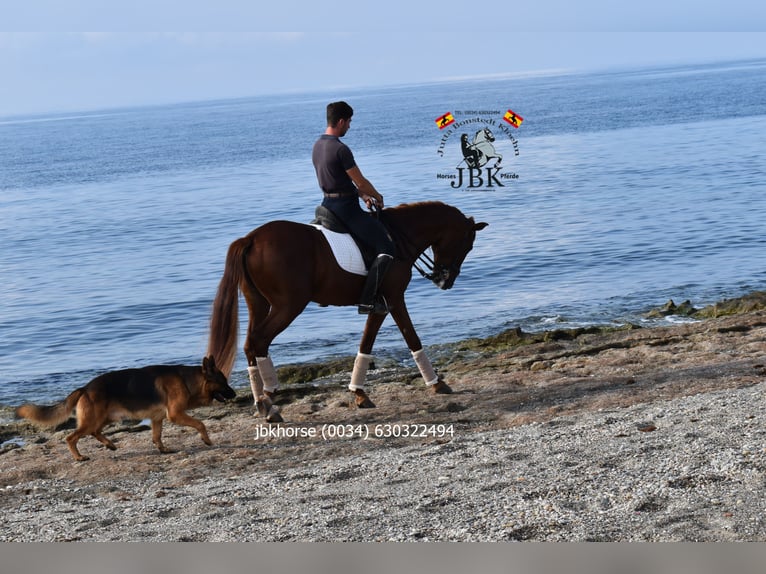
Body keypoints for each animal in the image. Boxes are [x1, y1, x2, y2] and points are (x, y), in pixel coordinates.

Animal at [15, 356, 236, 464]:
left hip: (105, 418)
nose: (233, 394)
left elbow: (157, 436)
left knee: (95, 432)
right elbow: (200, 423)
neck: (187, 380)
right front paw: (206, 440)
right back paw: (79, 457)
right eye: (223, 382)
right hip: (93, 420)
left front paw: (163, 449)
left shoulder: (157, 419)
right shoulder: (175, 415)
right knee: (71, 437)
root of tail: (85, 388)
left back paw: (110, 444)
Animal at [207, 202, 488, 424]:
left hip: (259, 303)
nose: (445, 281)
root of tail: (252, 238)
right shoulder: (394, 299)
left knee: (250, 345)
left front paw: (359, 394)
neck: (399, 236)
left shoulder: (380, 304)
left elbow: (366, 343)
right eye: (467, 245)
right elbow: (410, 337)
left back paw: (264, 401)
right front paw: (437, 383)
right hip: (288, 306)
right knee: (259, 341)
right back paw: (268, 404)